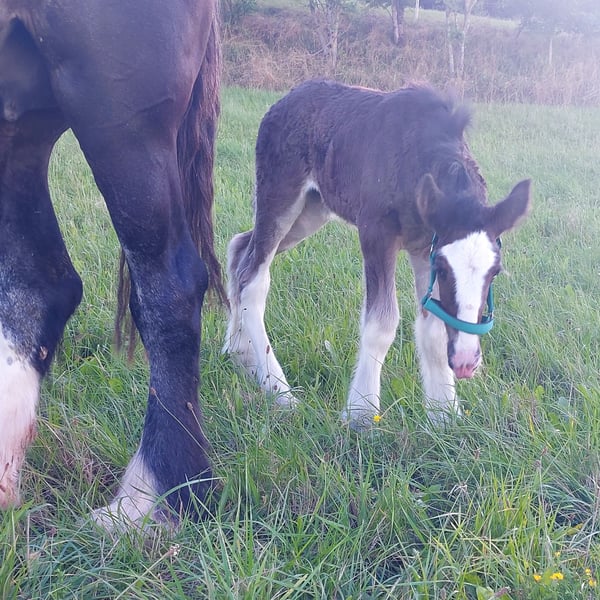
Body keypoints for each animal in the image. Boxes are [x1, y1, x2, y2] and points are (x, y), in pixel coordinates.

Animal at [225, 79, 531, 428]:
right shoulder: (375, 232)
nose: (467, 361)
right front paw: (360, 413)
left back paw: (240, 353)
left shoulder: (423, 244)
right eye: (443, 268)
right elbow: (381, 323)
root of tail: (280, 103)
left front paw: (443, 415)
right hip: (280, 194)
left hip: (312, 210)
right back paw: (280, 391)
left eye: (494, 272)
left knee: (239, 249)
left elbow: (434, 329)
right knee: (253, 278)